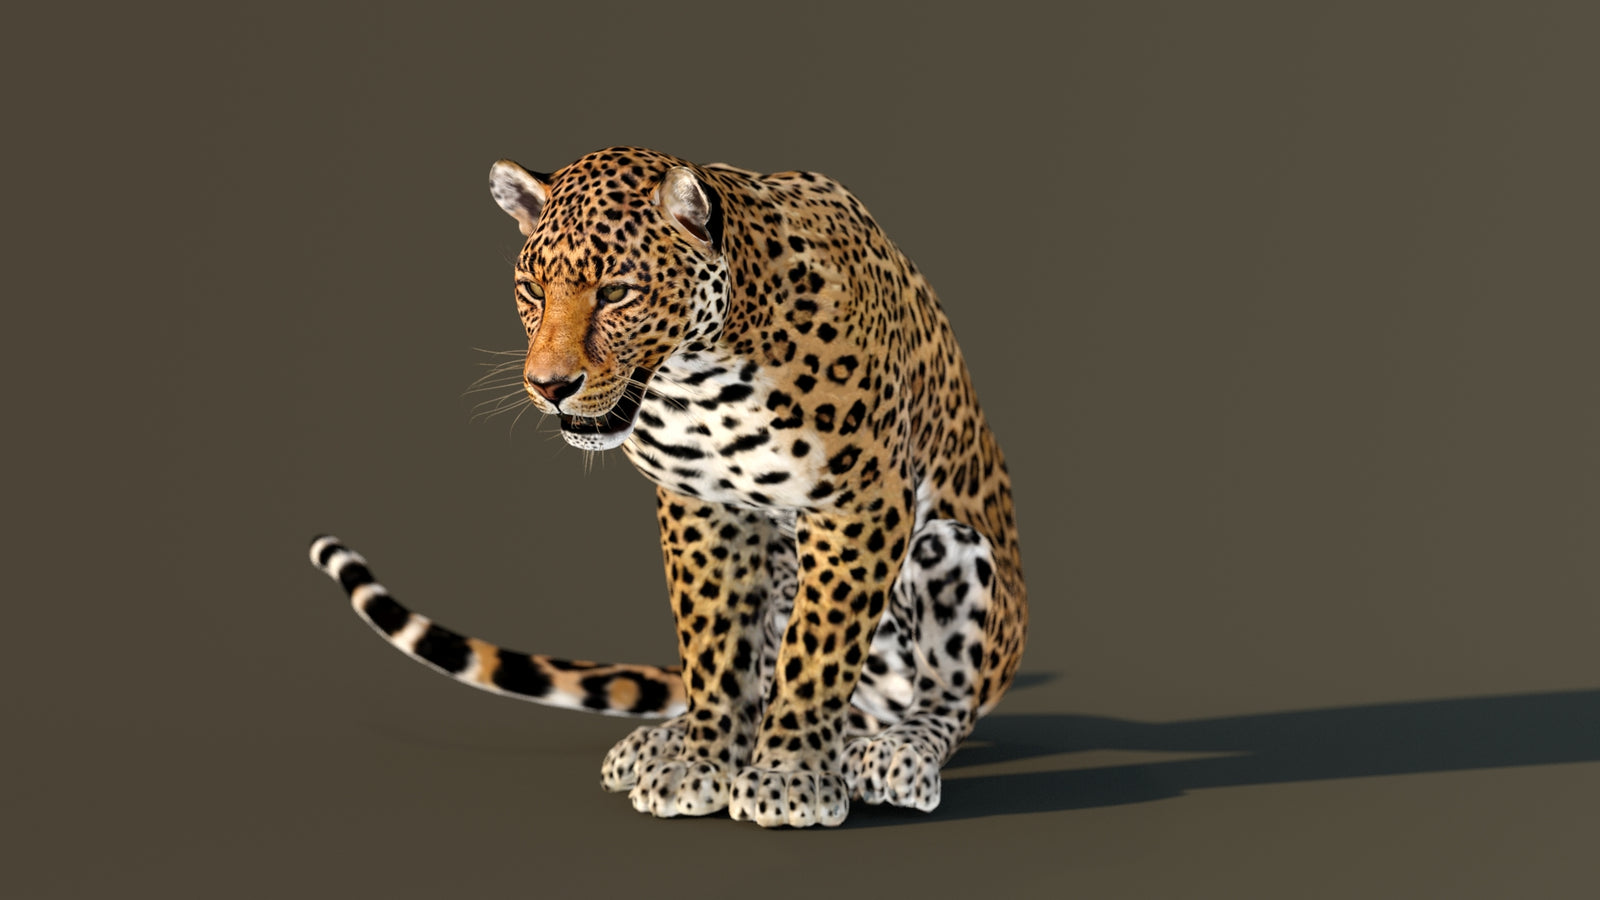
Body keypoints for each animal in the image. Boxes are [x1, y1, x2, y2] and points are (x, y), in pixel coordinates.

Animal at [309, 146, 1026, 828]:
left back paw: (897, 751)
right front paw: (702, 760)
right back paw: (663, 742)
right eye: (532, 289)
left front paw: (788, 775)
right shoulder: (702, 505)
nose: (548, 385)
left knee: (946, 696)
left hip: (953, 552)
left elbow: (817, 649)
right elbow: (713, 644)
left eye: (617, 292)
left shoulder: (860, 502)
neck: (705, 377)